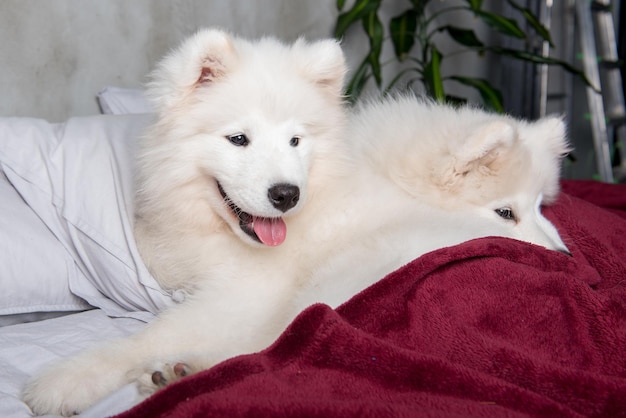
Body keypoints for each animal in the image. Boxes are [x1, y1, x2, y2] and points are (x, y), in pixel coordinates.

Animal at [22, 27, 568, 416]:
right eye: (239, 139)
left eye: (295, 141)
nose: (567, 259)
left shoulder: (246, 293)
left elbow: (157, 332)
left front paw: (65, 381)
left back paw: (179, 373)